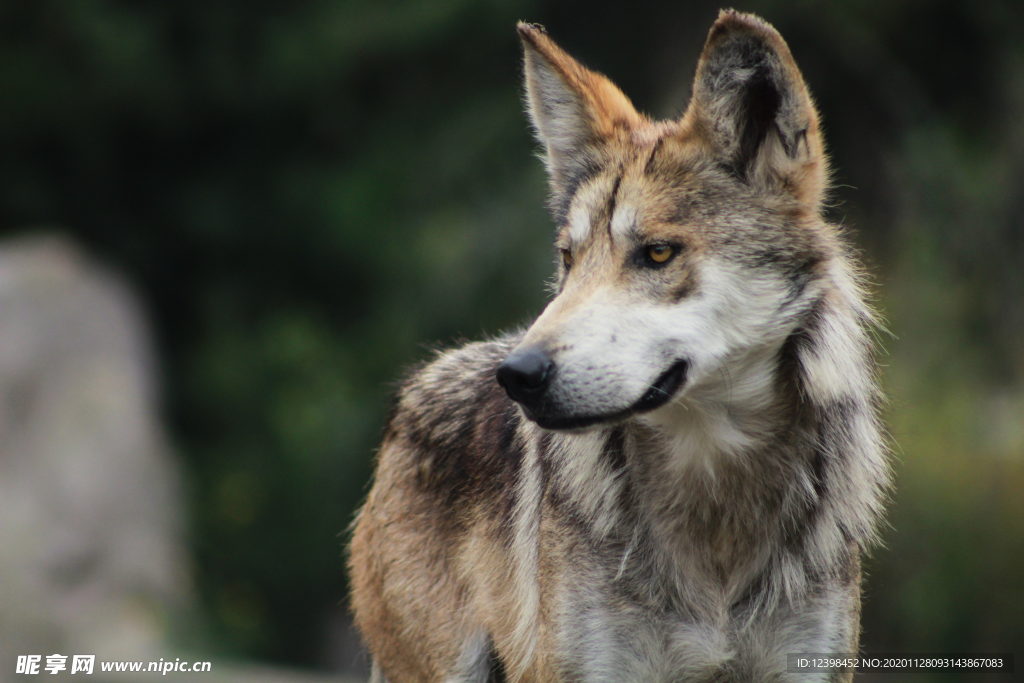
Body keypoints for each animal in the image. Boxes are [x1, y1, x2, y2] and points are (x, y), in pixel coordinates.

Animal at [350, 10, 888, 683]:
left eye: (656, 253)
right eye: (568, 258)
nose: (518, 374)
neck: (714, 503)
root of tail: (415, 393)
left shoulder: (806, 663)